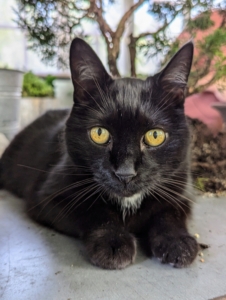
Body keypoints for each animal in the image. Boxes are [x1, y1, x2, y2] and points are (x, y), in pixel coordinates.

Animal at [0, 37, 198, 270]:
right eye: (99, 133)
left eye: (155, 135)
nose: (125, 173)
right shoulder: (46, 196)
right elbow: (94, 210)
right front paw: (113, 242)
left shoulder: (180, 191)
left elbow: (169, 213)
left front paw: (177, 242)